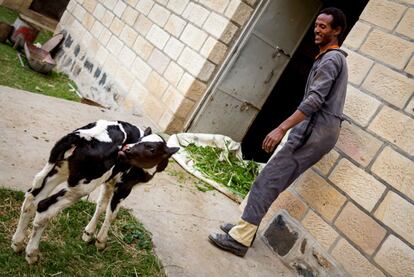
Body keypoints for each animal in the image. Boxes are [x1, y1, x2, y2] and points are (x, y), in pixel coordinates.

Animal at [11, 118, 179, 264]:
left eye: (151, 148)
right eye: (141, 141)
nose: (126, 148)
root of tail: (83, 136)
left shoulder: (109, 180)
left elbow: (101, 205)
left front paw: (88, 234)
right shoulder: (124, 186)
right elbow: (111, 213)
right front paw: (100, 241)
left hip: (58, 170)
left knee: (31, 199)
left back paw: (17, 243)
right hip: (83, 185)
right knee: (44, 207)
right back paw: (32, 254)